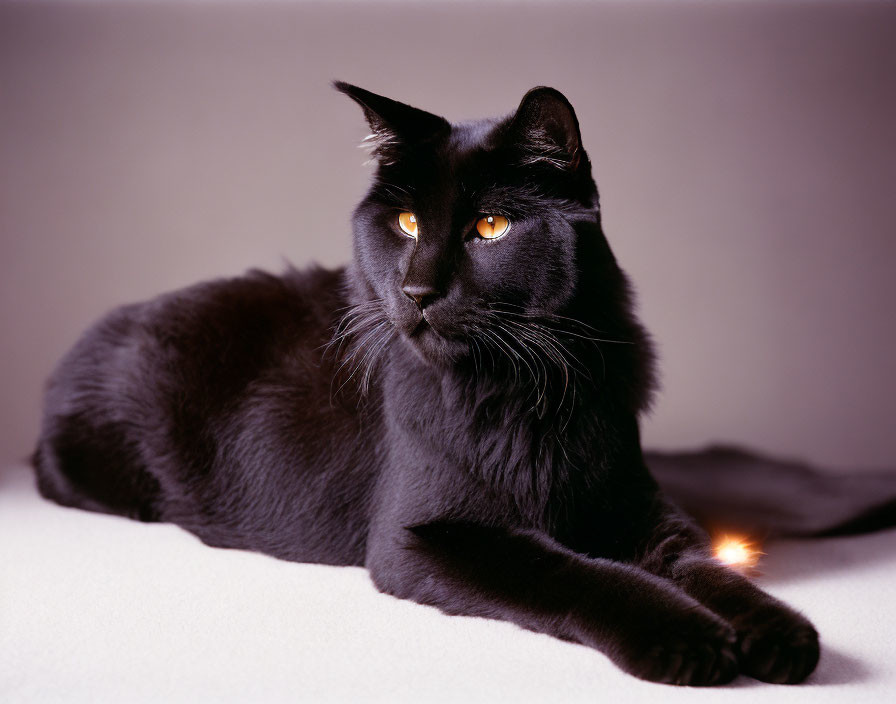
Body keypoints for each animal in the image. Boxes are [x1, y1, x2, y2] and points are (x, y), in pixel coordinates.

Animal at [33, 81, 820, 680]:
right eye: (408, 223)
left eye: (492, 226)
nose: (416, 290)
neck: (530, 387)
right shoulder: (426, 537)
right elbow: (577, 573)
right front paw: (688, 640)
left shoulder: (639, 509)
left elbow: (705, 565)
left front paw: (778, 633)